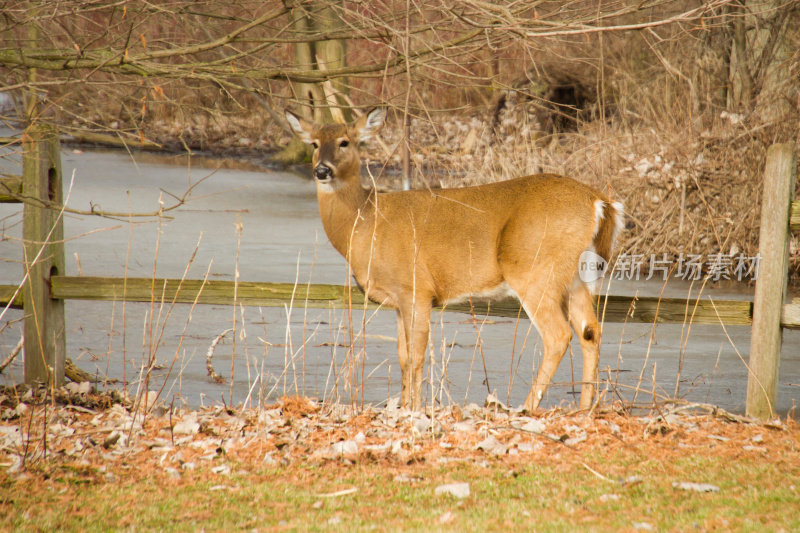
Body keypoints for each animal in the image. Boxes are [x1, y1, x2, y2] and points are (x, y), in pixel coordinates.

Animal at [284, 106, 620, 410]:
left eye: (345, 142)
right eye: (314, 143)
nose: (322, 170)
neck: (366, 219)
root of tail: (600, 203)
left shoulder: (416, 289)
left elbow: (417, 356)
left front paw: (413, 408)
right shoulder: (398, 300)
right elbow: (403, 356)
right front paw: (403, 405)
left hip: (535, 270)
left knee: (558, 335)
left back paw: (528, 406)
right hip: (578, 276)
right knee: (590, 331)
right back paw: (584, 408)